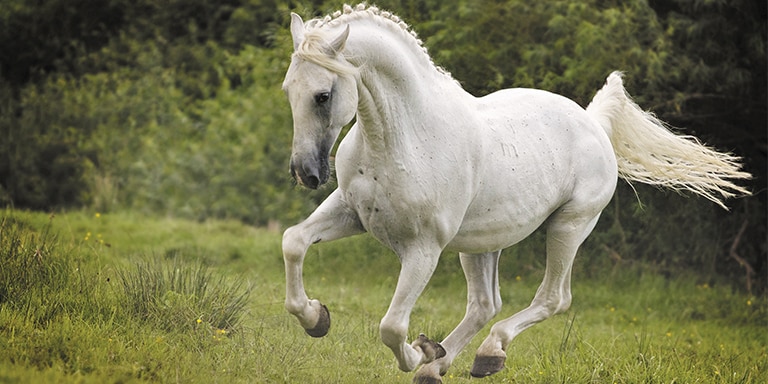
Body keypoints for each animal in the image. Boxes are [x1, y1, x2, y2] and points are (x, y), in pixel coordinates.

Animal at [280, 3, 748, 384]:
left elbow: (392, 327)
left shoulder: (423, 248)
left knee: (553, 298)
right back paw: (443, 363)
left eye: (323, 95)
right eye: (289, 90)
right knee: (485, 304)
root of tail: (592, 121)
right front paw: (316, 318)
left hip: (569, 227)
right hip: (482, 243)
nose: (305, 173)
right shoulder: (351, 213)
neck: (404, 136)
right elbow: (293, 242)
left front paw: (416, 353)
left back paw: (482, 354)